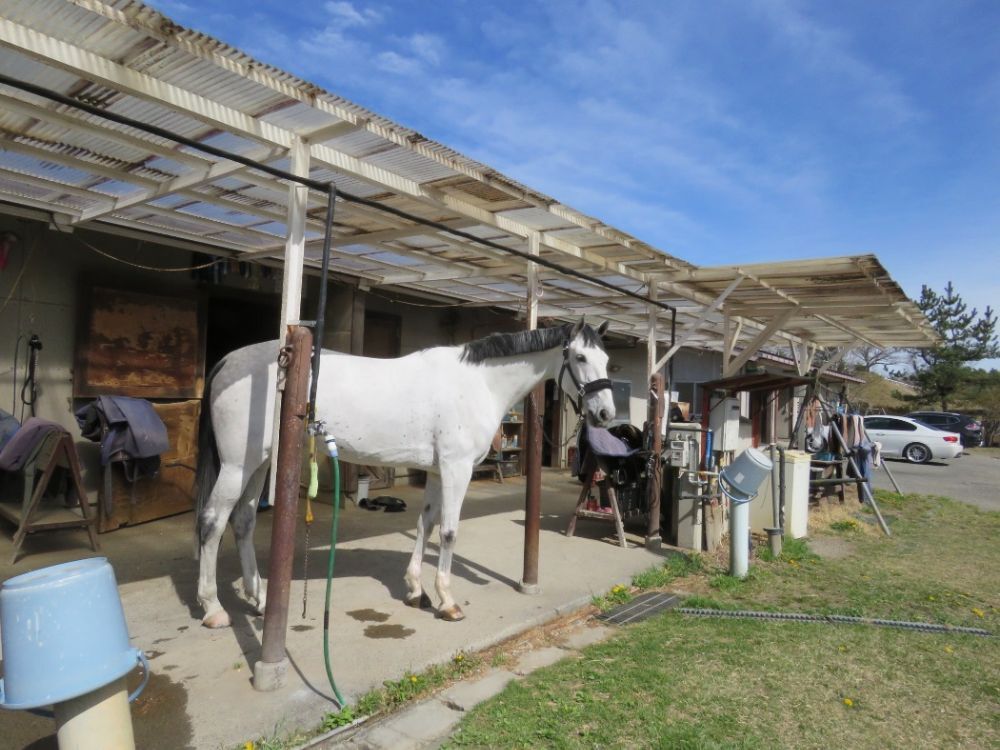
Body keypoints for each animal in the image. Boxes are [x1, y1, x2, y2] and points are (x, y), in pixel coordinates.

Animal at [193, 318, 616, 628]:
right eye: (580, 357)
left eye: (608, 360)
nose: (605, 415)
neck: (476, 383)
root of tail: (228, 363)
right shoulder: (456, 469)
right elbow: (448, 532)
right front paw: (447, 601)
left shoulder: (437, 471)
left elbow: (425, 525)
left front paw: (416, 590)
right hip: (237, 465)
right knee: (213, 522)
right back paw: (214, 609)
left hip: (260, 463)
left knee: (243, 521)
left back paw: (261, 600)